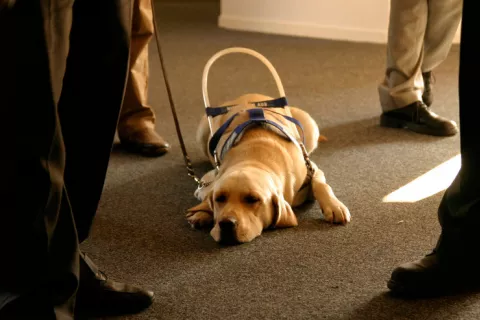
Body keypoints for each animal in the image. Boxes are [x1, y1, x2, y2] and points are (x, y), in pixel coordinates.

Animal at [187, 94, 348, 244]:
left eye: (252, 199)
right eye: (220, 198)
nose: (226, 224)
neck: (255, 159)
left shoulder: (312, 168)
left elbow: (322, 185)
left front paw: (334, 206)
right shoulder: (213, 176)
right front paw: (202, 213)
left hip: (310, 125)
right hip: (202, 132)